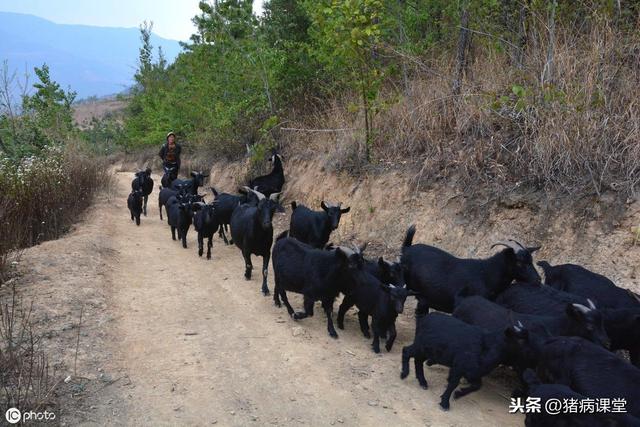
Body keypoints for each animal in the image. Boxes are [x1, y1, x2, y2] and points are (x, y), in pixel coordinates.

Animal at [400, 314, 528, 412]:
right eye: (519, 341)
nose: (524, 362)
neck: (485, 346)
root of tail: (424, 319)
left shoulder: (472, 372)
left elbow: (477, 386)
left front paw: (458, 394)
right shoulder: (458, 367)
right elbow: (453, 384)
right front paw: (445, 403)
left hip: (427, 351)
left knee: (418, 361)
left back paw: (422, 382)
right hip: (420, 347)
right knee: (406, 351)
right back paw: (404, 374)